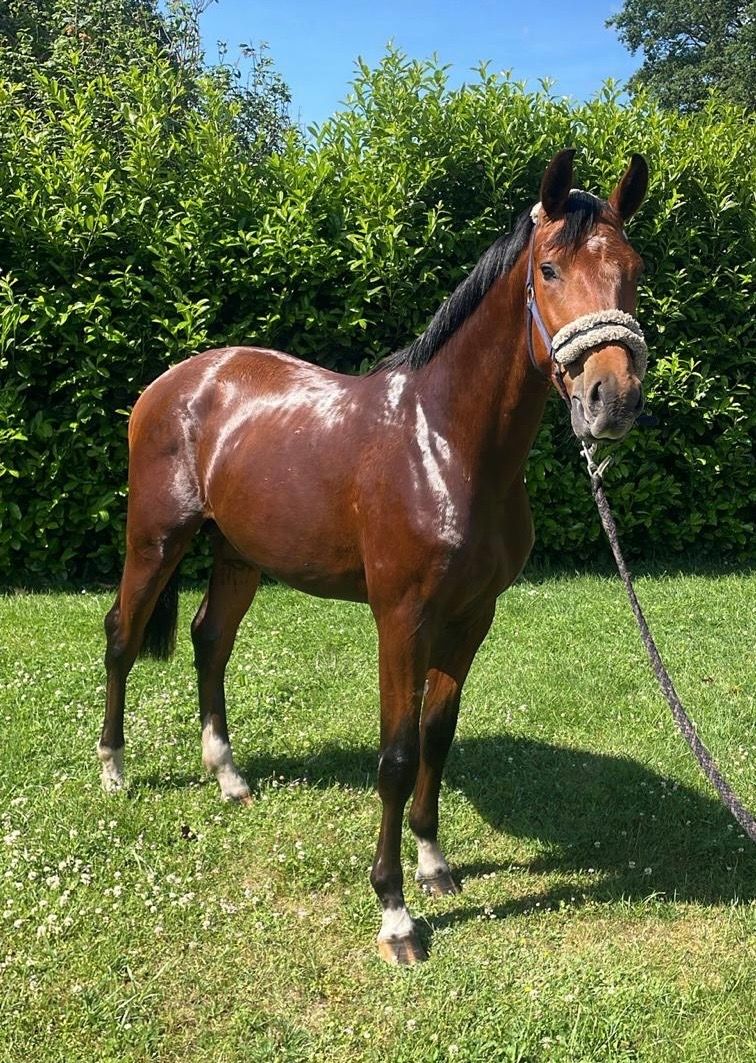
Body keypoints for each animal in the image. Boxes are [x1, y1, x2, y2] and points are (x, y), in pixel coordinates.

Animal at [98, 149, 649, 964]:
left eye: (633, 269)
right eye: (549, 269)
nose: (612, 398)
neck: (445, 444)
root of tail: (173, 383)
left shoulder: (471, 617)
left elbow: (436, 739)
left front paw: (434, 865)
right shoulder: (401, 618)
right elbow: (395, 754)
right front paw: (394, 914)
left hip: (239, 557)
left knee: (209, 640)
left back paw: (228, 776)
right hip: (155, 539)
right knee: (123, 636)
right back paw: (113, 769)